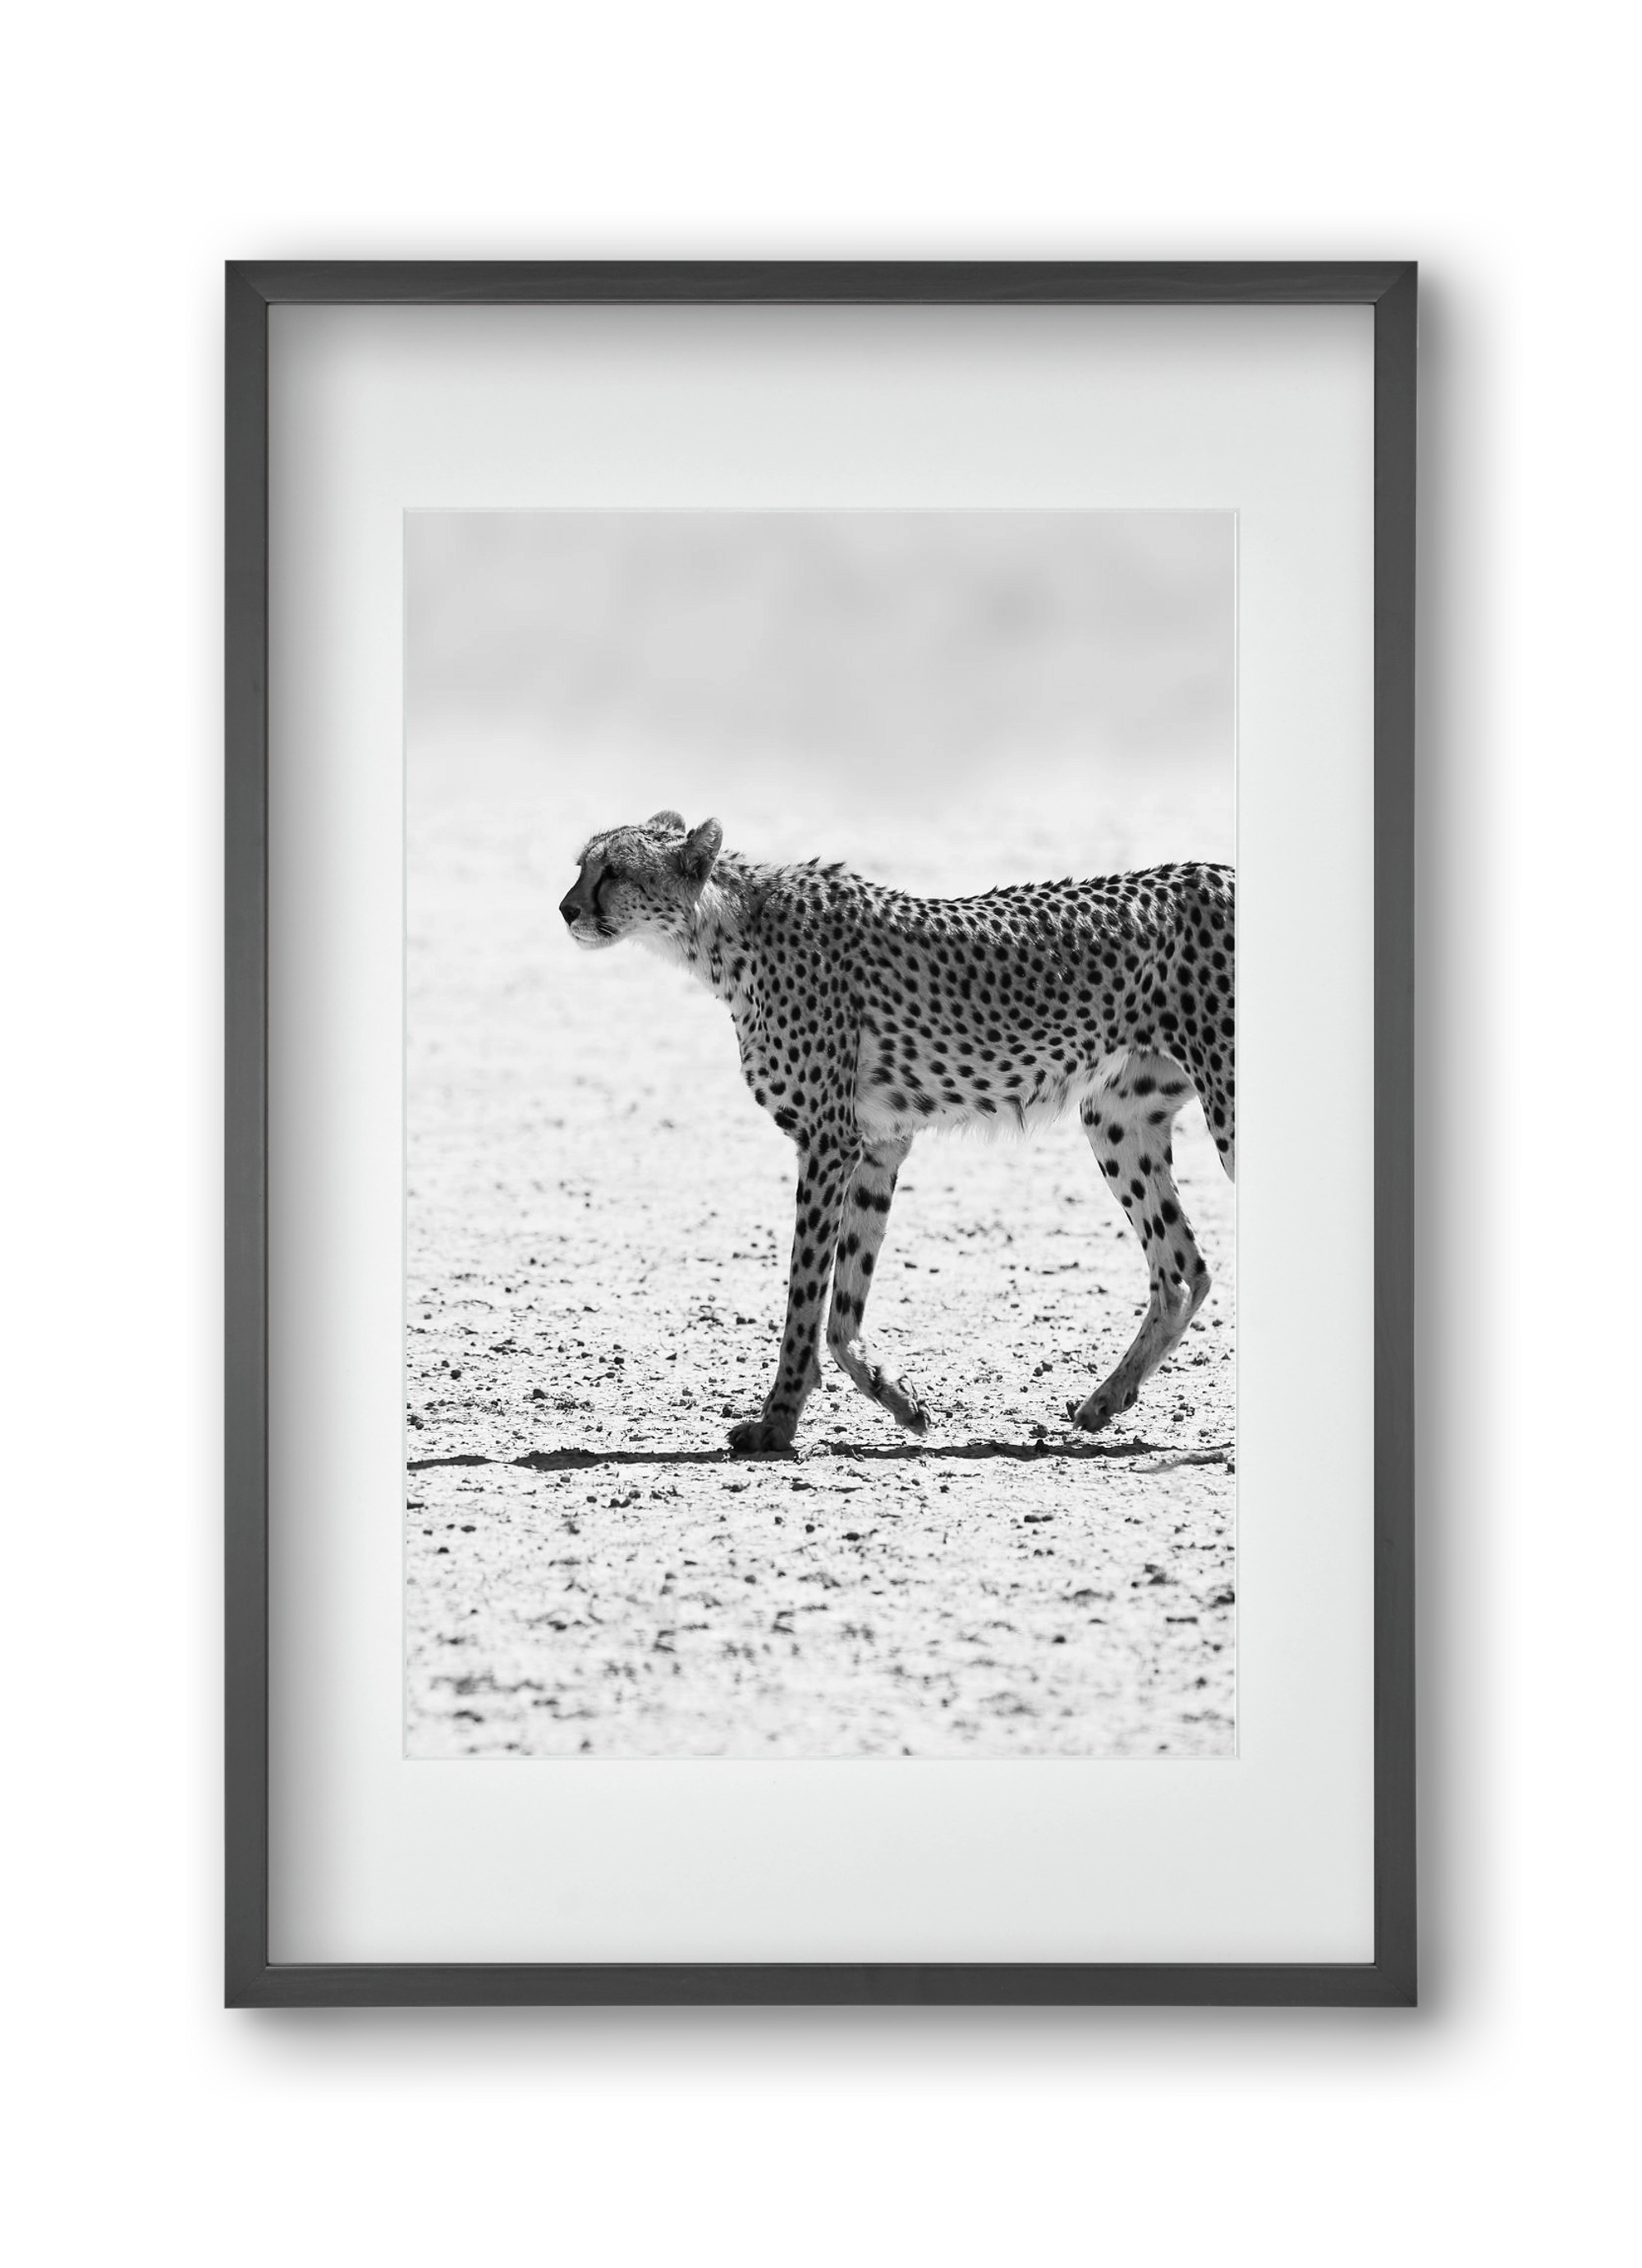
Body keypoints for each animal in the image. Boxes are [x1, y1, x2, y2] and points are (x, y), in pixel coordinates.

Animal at [559, 811, 1234, 1455]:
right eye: (582, 865)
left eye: (614, 870)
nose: (566, 909)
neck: (724, 931)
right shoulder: (878, 1144)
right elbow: (842, 1306)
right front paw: (899, 1399)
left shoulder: (827, 1141)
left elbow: (805, 1294)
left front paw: (777, 1422)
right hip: (1117, 1118)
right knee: (1182, 1270)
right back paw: (1106, 1400)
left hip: (1223, 1105)